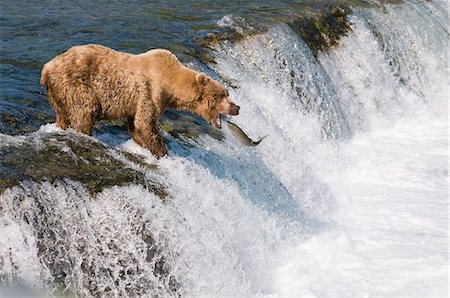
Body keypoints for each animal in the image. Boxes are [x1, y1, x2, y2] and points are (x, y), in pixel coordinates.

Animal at [40, 44, 241, 157]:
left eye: (227, 93)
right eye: (221, 95)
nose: (237, 107)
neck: (172, 84)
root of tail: (46, 68)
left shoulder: (136, 100)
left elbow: (136, 123)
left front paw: (143, 144)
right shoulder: (150, 92)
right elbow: (145, 122)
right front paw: (161, 151)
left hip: (58, 93)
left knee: (63, 113)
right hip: (76, 84)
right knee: (86, 109)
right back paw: (84, 133)